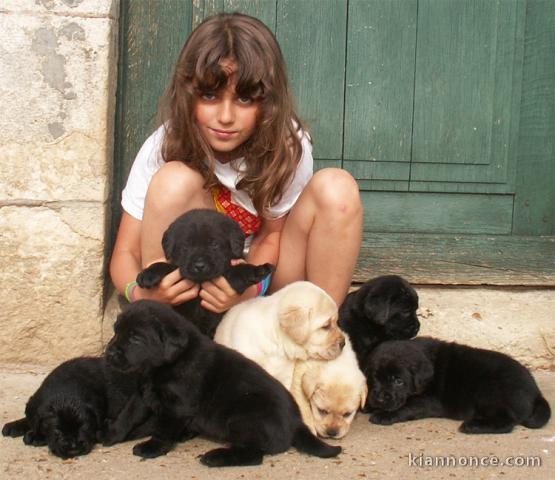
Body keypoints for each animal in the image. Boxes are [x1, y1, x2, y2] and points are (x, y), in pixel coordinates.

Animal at [103, 300, 338, 464]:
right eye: (116, 331)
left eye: (135, 338)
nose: (109, 353)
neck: (161, 368)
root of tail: (297, 422)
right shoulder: (142, 394)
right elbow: (127, 415)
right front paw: (112, 434)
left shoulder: (177, 406)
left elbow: (162, 429)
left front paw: (151, 448)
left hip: (243, 417)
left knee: (253, 454)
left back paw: (215, 457)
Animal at [138, 209, 274, 338]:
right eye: (186, 246)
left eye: (214, 244)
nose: (199, 266)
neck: (201, 282)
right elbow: (168, 266)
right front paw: (148, 274)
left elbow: (236, 271)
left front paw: (258, 270)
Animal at [364, 336, 552, 434]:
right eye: (374, 377)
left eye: (398, 381)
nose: (379, 399)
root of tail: (536, 392)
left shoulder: (429, 401)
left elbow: (407, 406)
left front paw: (383, 415)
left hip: (489, 391)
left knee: (507, 421)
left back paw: (474, 426)